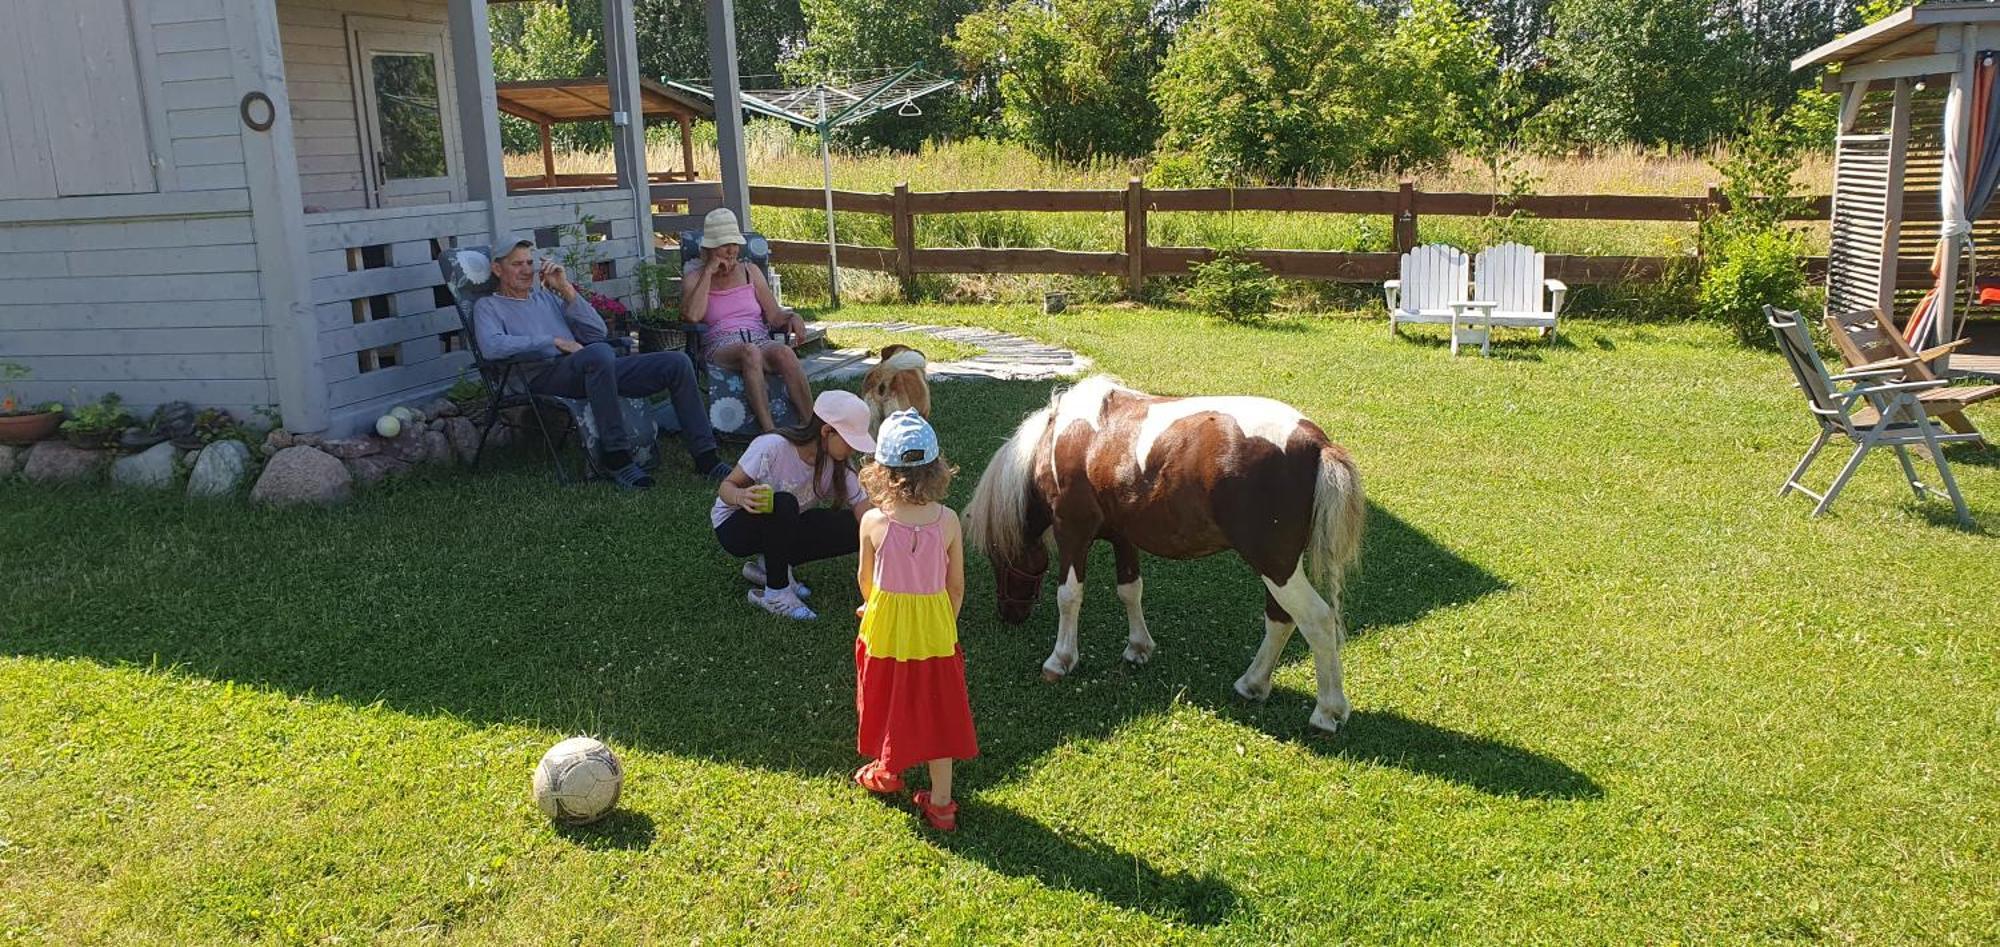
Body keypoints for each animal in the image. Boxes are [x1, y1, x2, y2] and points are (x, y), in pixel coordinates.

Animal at [964, 375, 1360, 731]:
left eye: (999, 561)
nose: (1009, 614)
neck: (1066, 439)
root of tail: (1316, 443)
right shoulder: (1122, 537)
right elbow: (1130, 590)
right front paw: (1138, 648)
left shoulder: (1071, 532)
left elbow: (1069, 596)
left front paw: (1061, 659)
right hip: (1277, 567)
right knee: (1280, 619)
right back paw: (1253, 684)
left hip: (1275, 565)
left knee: (1316, 620)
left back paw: (1328, 711)